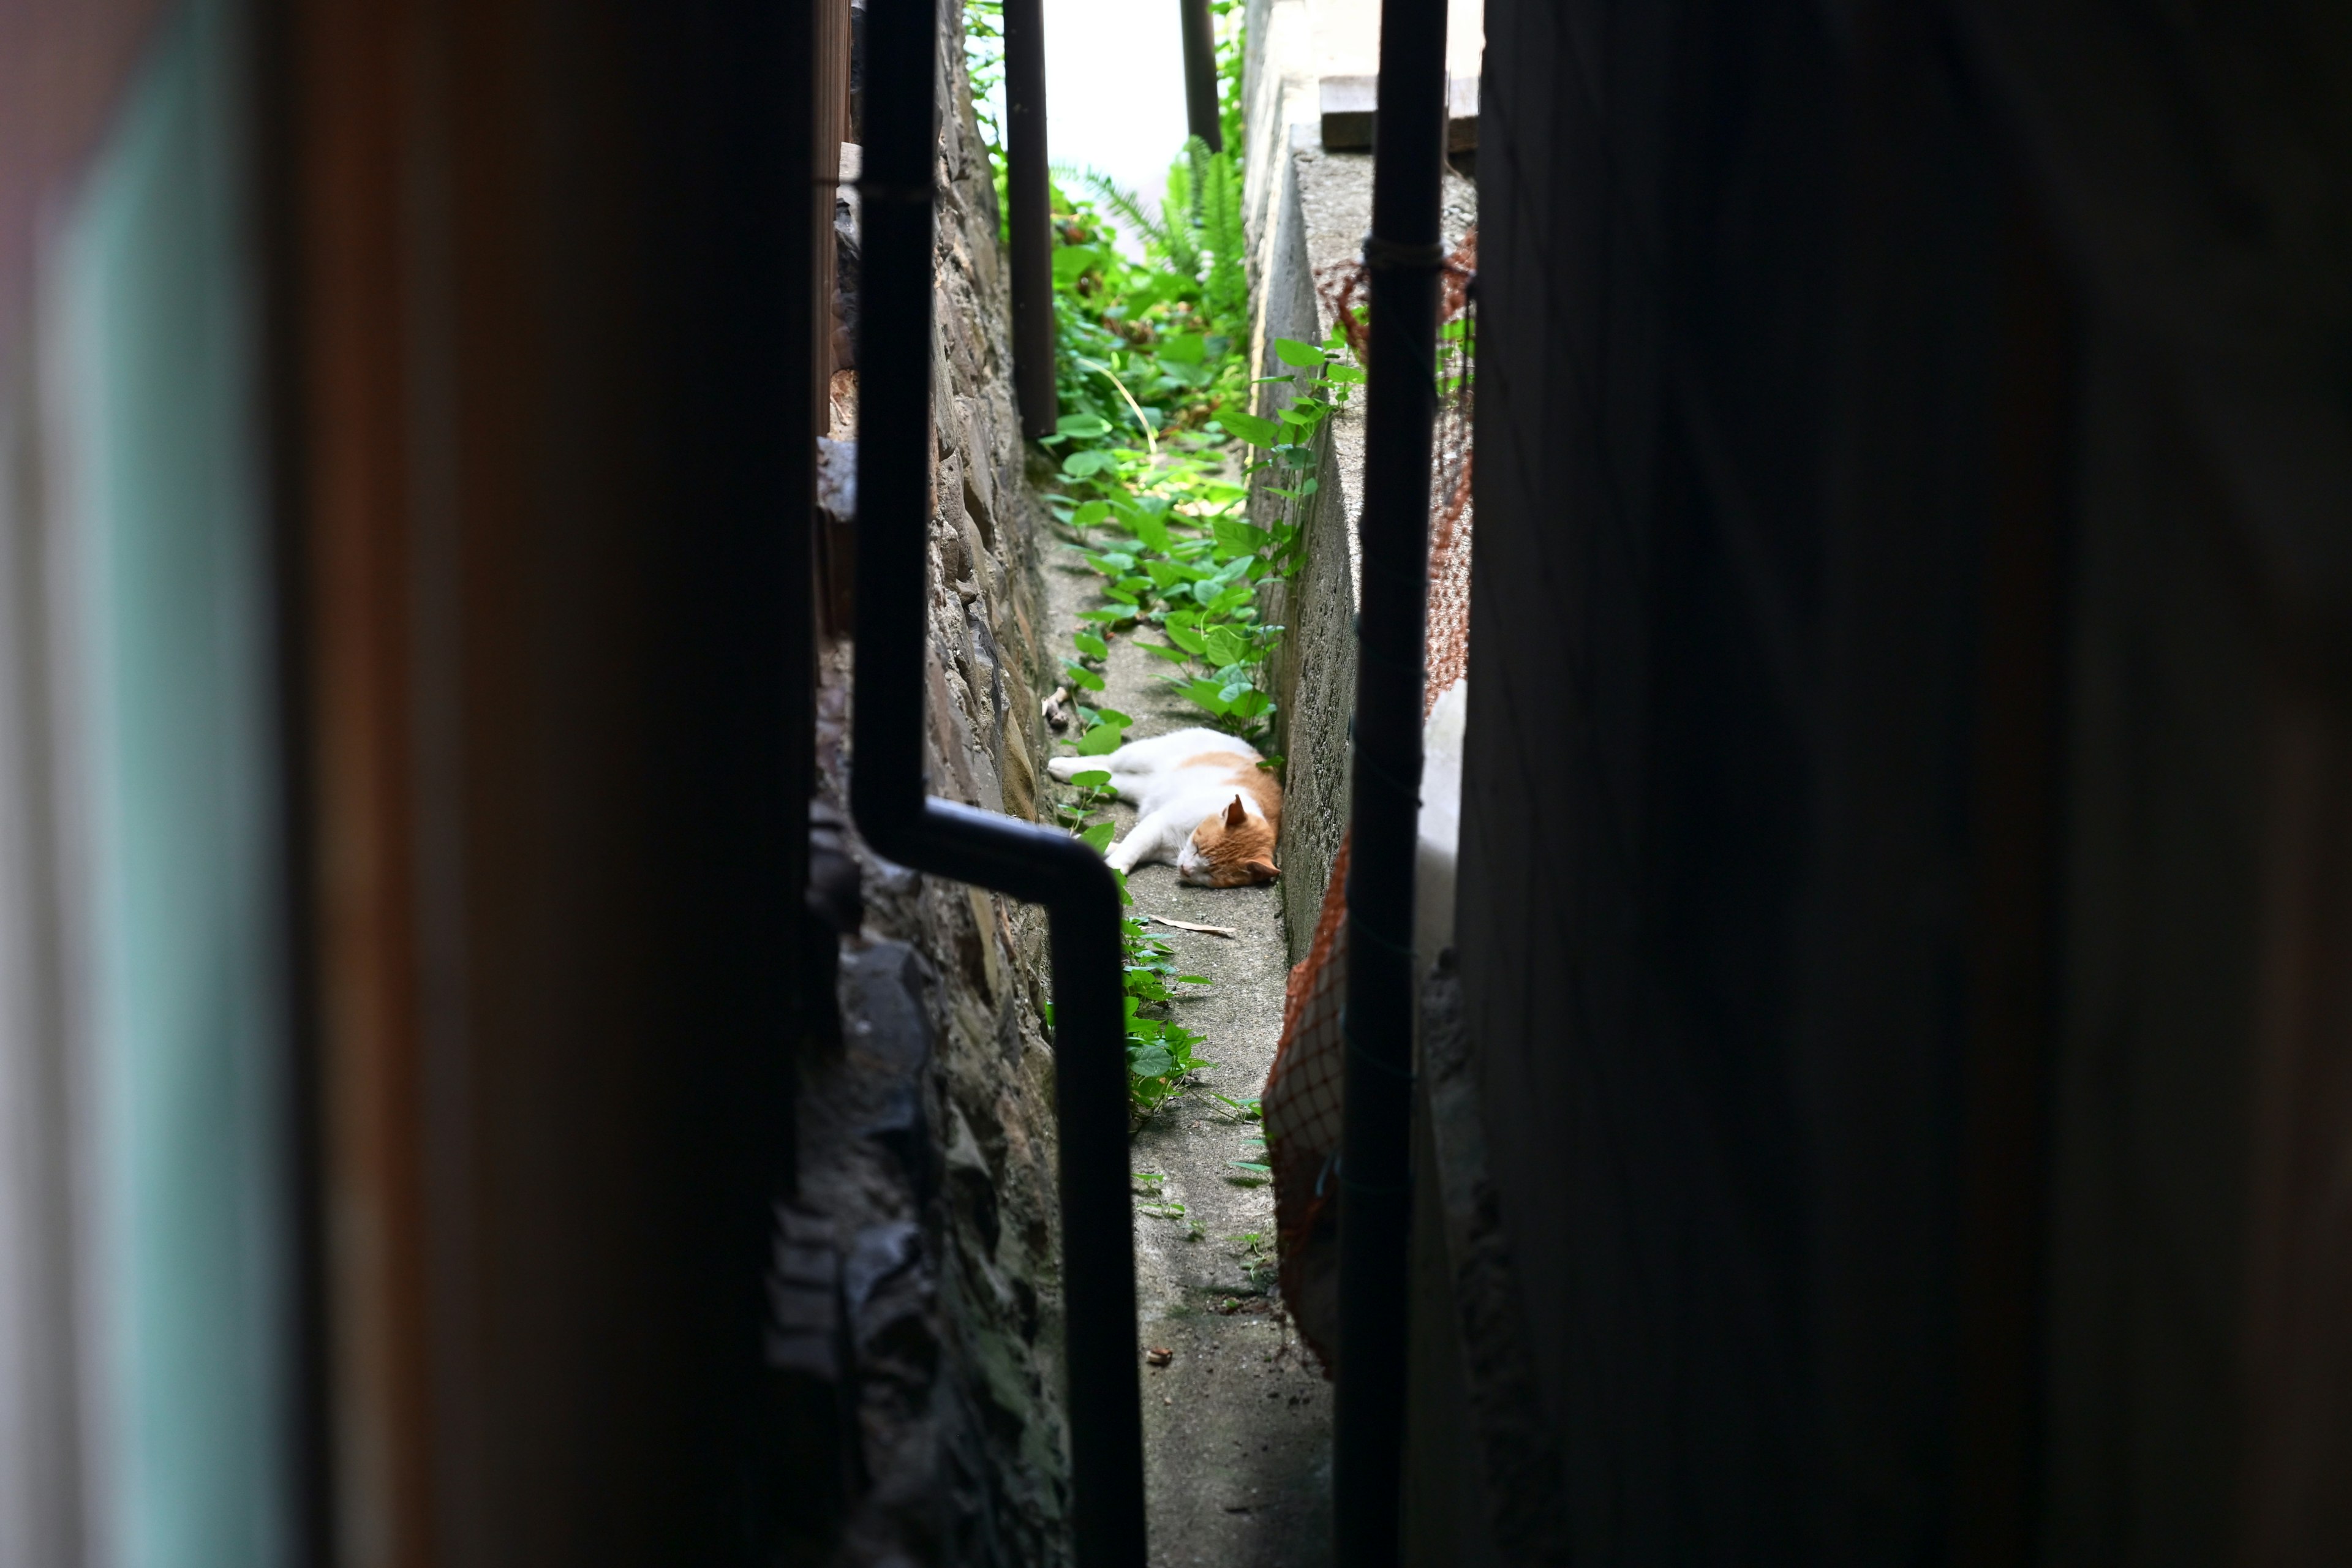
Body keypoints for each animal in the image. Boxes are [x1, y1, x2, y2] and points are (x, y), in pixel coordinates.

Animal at [1049, 728, 1289, 888]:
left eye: (1211, 874)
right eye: (1198, 848)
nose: (1186, 870)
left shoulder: (1154, 844)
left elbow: (1122, 846)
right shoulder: (1155, 824)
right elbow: (1131, 848)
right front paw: (1113, 869)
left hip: (1133, 786)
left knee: (1109, 777)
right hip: (1136, 757)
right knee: (1107, 762)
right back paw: (1061, 765)